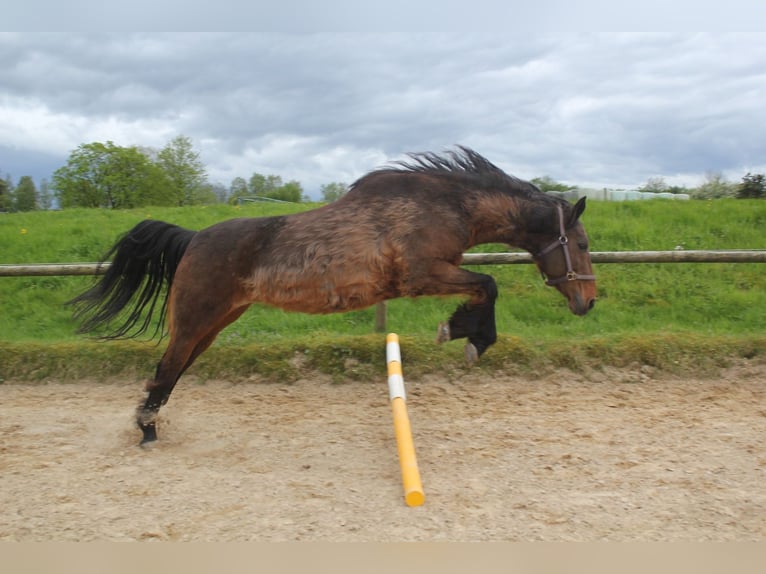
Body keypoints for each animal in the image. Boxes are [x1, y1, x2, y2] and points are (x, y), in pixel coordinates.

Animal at [70, 146, 600, 448]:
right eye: (581, 243)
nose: (589, 302)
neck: (442, 205)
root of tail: (194, 237)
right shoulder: (422, 275)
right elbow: (488, 285)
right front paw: (467, 336)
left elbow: (485, 286)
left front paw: (463, 332)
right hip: (197, 319)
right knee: (165, 369)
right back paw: (146, 431)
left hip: (215, 324)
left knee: (171, 372)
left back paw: (149, 425)